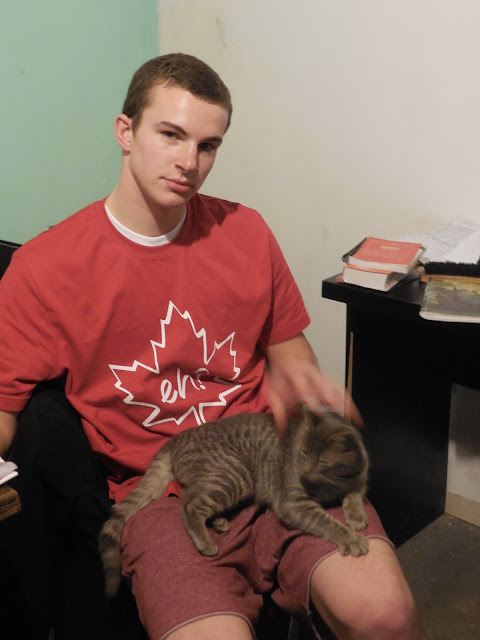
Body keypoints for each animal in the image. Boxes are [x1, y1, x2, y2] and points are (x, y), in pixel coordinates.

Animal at [98, 408, 369, 597]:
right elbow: (327, 522)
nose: (302, 471)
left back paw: (218, 521)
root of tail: (175, 440)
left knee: (192, 495)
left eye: (322, 462)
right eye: (302, 453)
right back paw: (205, 541)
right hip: (233, 475)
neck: (336, 482)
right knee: (189, 504)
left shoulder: (356, 482)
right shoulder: (294, 503)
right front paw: (351, 538)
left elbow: (354, 496)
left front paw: (356, 517)